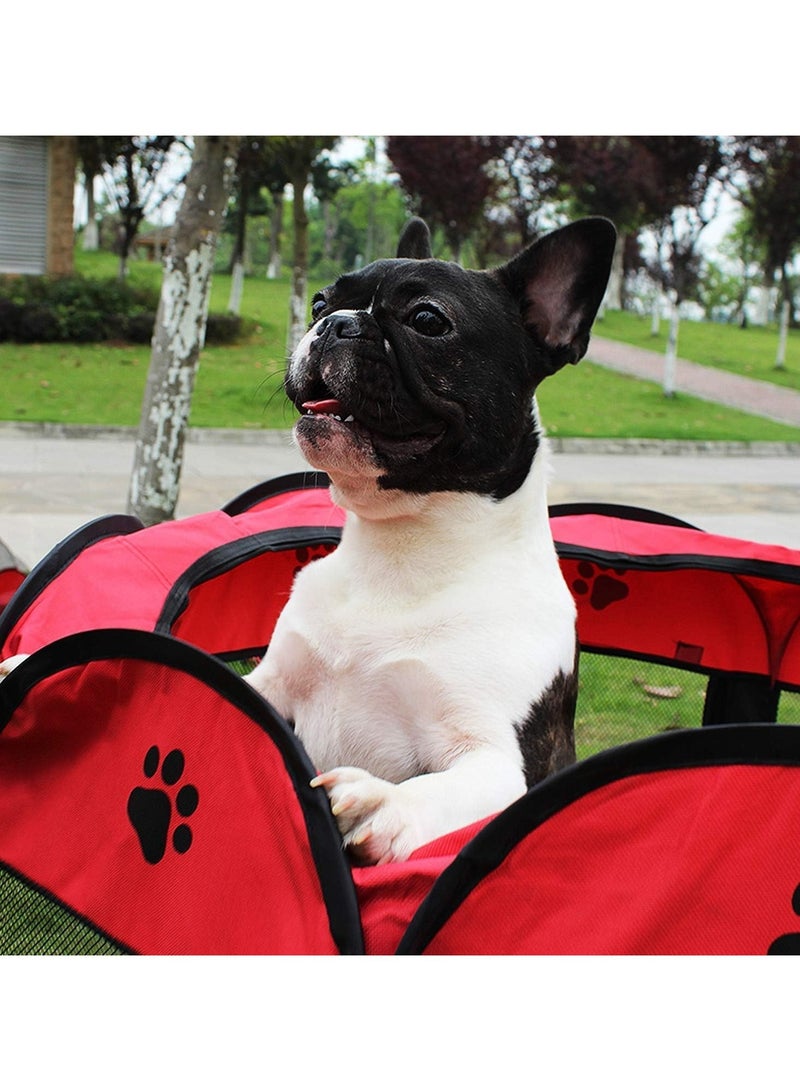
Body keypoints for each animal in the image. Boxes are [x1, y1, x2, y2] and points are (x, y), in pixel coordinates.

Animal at [246, 214, 615, 859]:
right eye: (320, 301)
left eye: (427, 320)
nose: (335, 323)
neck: (400, 550)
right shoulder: (272, 685)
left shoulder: (496, 757)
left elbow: (448, 788)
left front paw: (382, 803)